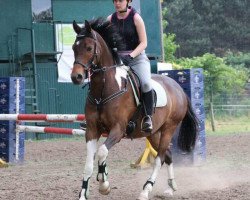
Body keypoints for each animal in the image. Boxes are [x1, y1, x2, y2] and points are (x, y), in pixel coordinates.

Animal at [70, 18, 197, 200]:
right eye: (74, 48)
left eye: (88, 48)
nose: (76, 77)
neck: (104, 88)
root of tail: (179, 89)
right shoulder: (92, 130)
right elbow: (89, 162)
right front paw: (84, 193)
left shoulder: (118, 129)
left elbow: (101, 152)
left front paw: (104, 184)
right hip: (153, 133)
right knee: (168, 155)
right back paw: (170, 187)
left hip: (169, 129)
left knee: (159, 159)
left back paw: (146, 190)